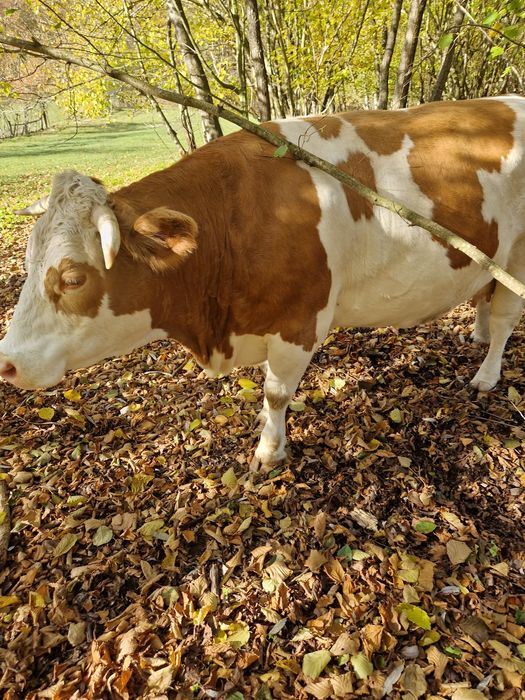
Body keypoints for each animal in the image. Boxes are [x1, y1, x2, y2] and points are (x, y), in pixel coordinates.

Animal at [0, 96, 524, 465]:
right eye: (27, 260)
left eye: (72, 278)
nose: (7, 363)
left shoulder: (300, 321)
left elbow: (276, 392)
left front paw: (269, 452)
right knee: (486, 298)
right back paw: (476, 334)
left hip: (518, 256)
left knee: (504, 318)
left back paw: (486, 374)